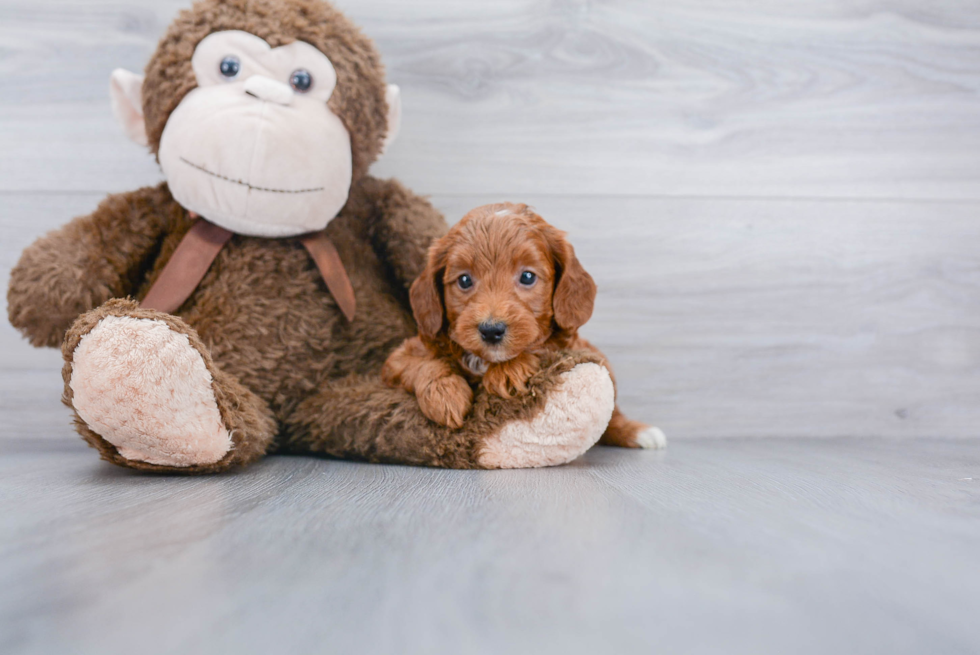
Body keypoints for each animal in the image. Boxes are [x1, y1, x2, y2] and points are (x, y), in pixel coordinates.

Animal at [382, 205, 668, 452]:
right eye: (464, 280)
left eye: (528, 276)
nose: (491, 330)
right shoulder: (398, 359)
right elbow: (421, 364)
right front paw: (446, 395)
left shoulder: (568, 344)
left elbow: (542, 345)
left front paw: (507, 373)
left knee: (613, 415)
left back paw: (640, 433)